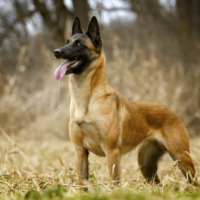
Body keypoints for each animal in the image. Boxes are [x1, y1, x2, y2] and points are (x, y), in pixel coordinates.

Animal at [53, 16, 198, 188]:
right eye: (67, 42)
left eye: (79, 44)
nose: (56, 52)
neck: (86, 101)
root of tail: (172, 112)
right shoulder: (80, 151)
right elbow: (83, 183)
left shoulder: (112, 151)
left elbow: (114, 182)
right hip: (146, 164)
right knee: (157, 184)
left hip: (182, 159)